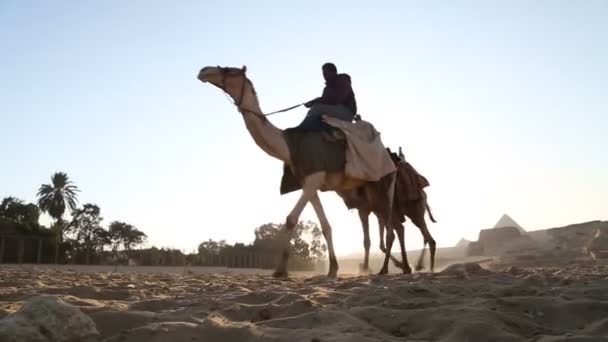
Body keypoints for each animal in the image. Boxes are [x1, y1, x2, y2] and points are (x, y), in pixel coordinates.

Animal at [197, 66, 396, 278]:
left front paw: (280, 270)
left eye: (228, 70)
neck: (289, 145)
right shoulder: (310, 183)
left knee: (391, 228)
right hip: (365, 193)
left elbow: (291, 219)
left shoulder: (314, 178)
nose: (203, 71)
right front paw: (333, 268)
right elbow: (325, 226)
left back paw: (387, 269)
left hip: (384, 184)